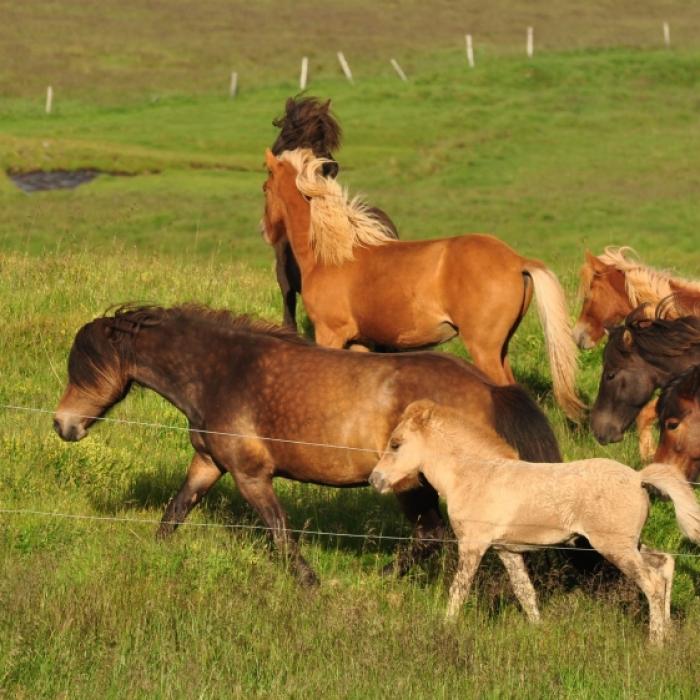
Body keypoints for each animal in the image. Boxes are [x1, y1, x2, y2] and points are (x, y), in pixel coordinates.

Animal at [53, 304, 561, 586]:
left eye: (84, 368)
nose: (63, 425)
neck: (224, 372)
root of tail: (489, 388)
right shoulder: (209, 463)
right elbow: (175, 512)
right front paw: (152, 554)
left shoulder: (250, 474)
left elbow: (279, 531)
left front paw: (311, 582)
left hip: (412, 485)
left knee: (431, 536)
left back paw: (378, 580)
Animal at [262, 148, 584, 421]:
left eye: (265, 188)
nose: (266, 231)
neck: (334, 254)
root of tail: (517, 261)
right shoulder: (360, 342)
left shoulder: (329, 335)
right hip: (501, 347)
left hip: (484, 349)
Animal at [369, 400, 700, 644]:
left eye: (396, 444)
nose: (375, 480)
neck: (474, 475)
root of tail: (637, 478)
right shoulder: (507, 551)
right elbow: (525, 593)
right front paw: (539, 632)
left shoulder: (473, 545)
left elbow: (459, 590)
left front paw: (446, 626)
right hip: (630, 544)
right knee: (665, 564)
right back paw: (668, 634)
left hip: (614, 547)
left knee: (652, 583)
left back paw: (655, 643)